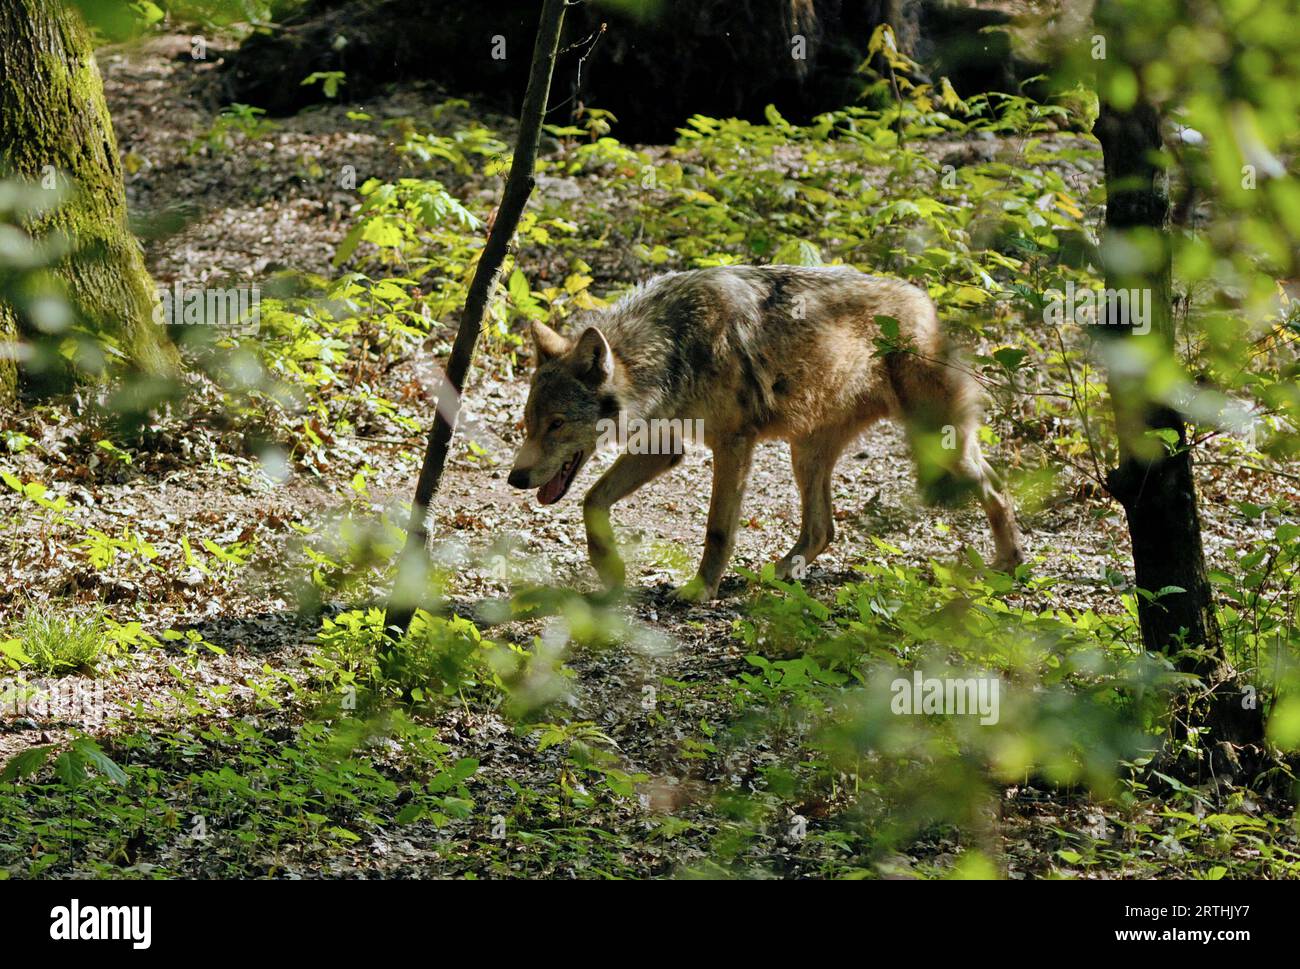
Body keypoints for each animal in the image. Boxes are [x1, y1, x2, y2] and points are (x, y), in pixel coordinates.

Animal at [507, 265, 1025, 601]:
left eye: (557, 424)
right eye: (529, 423)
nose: (515, 479)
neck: (673, 347)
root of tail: (925, 301)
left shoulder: (732, 444)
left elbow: (717, 530)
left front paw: (700, 590)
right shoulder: (666, 447)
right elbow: (592, 500)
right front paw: (609, 567)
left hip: (939, 445)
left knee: (997, 486)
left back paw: (1009, 562)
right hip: (806, 453)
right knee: (824, 529)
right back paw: (777, 575)